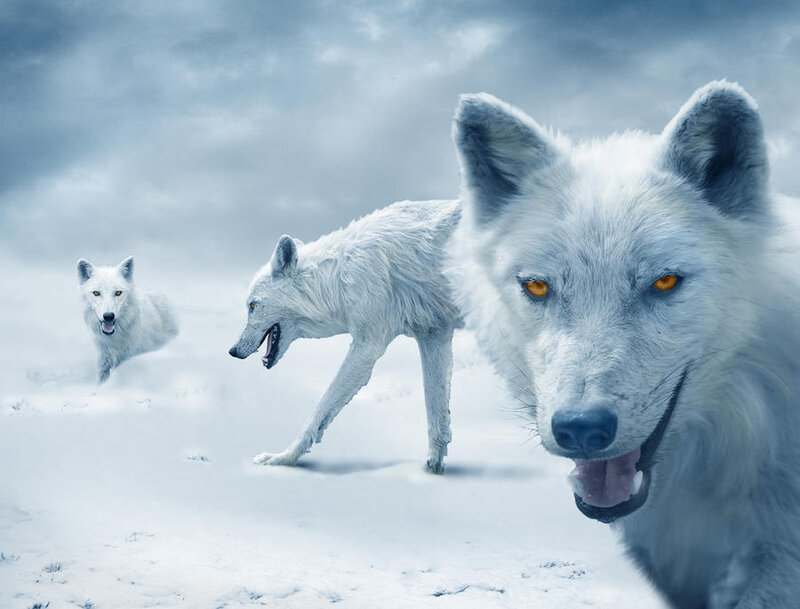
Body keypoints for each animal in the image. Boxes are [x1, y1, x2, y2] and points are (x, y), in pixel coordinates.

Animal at [228, 200, 463, 473]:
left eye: (253, 306)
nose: (232, 351)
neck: (339, 277)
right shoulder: (434, 336)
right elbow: (436, 414)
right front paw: (433, 468)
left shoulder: (366, 347)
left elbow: (320, 408)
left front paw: (283, 458)